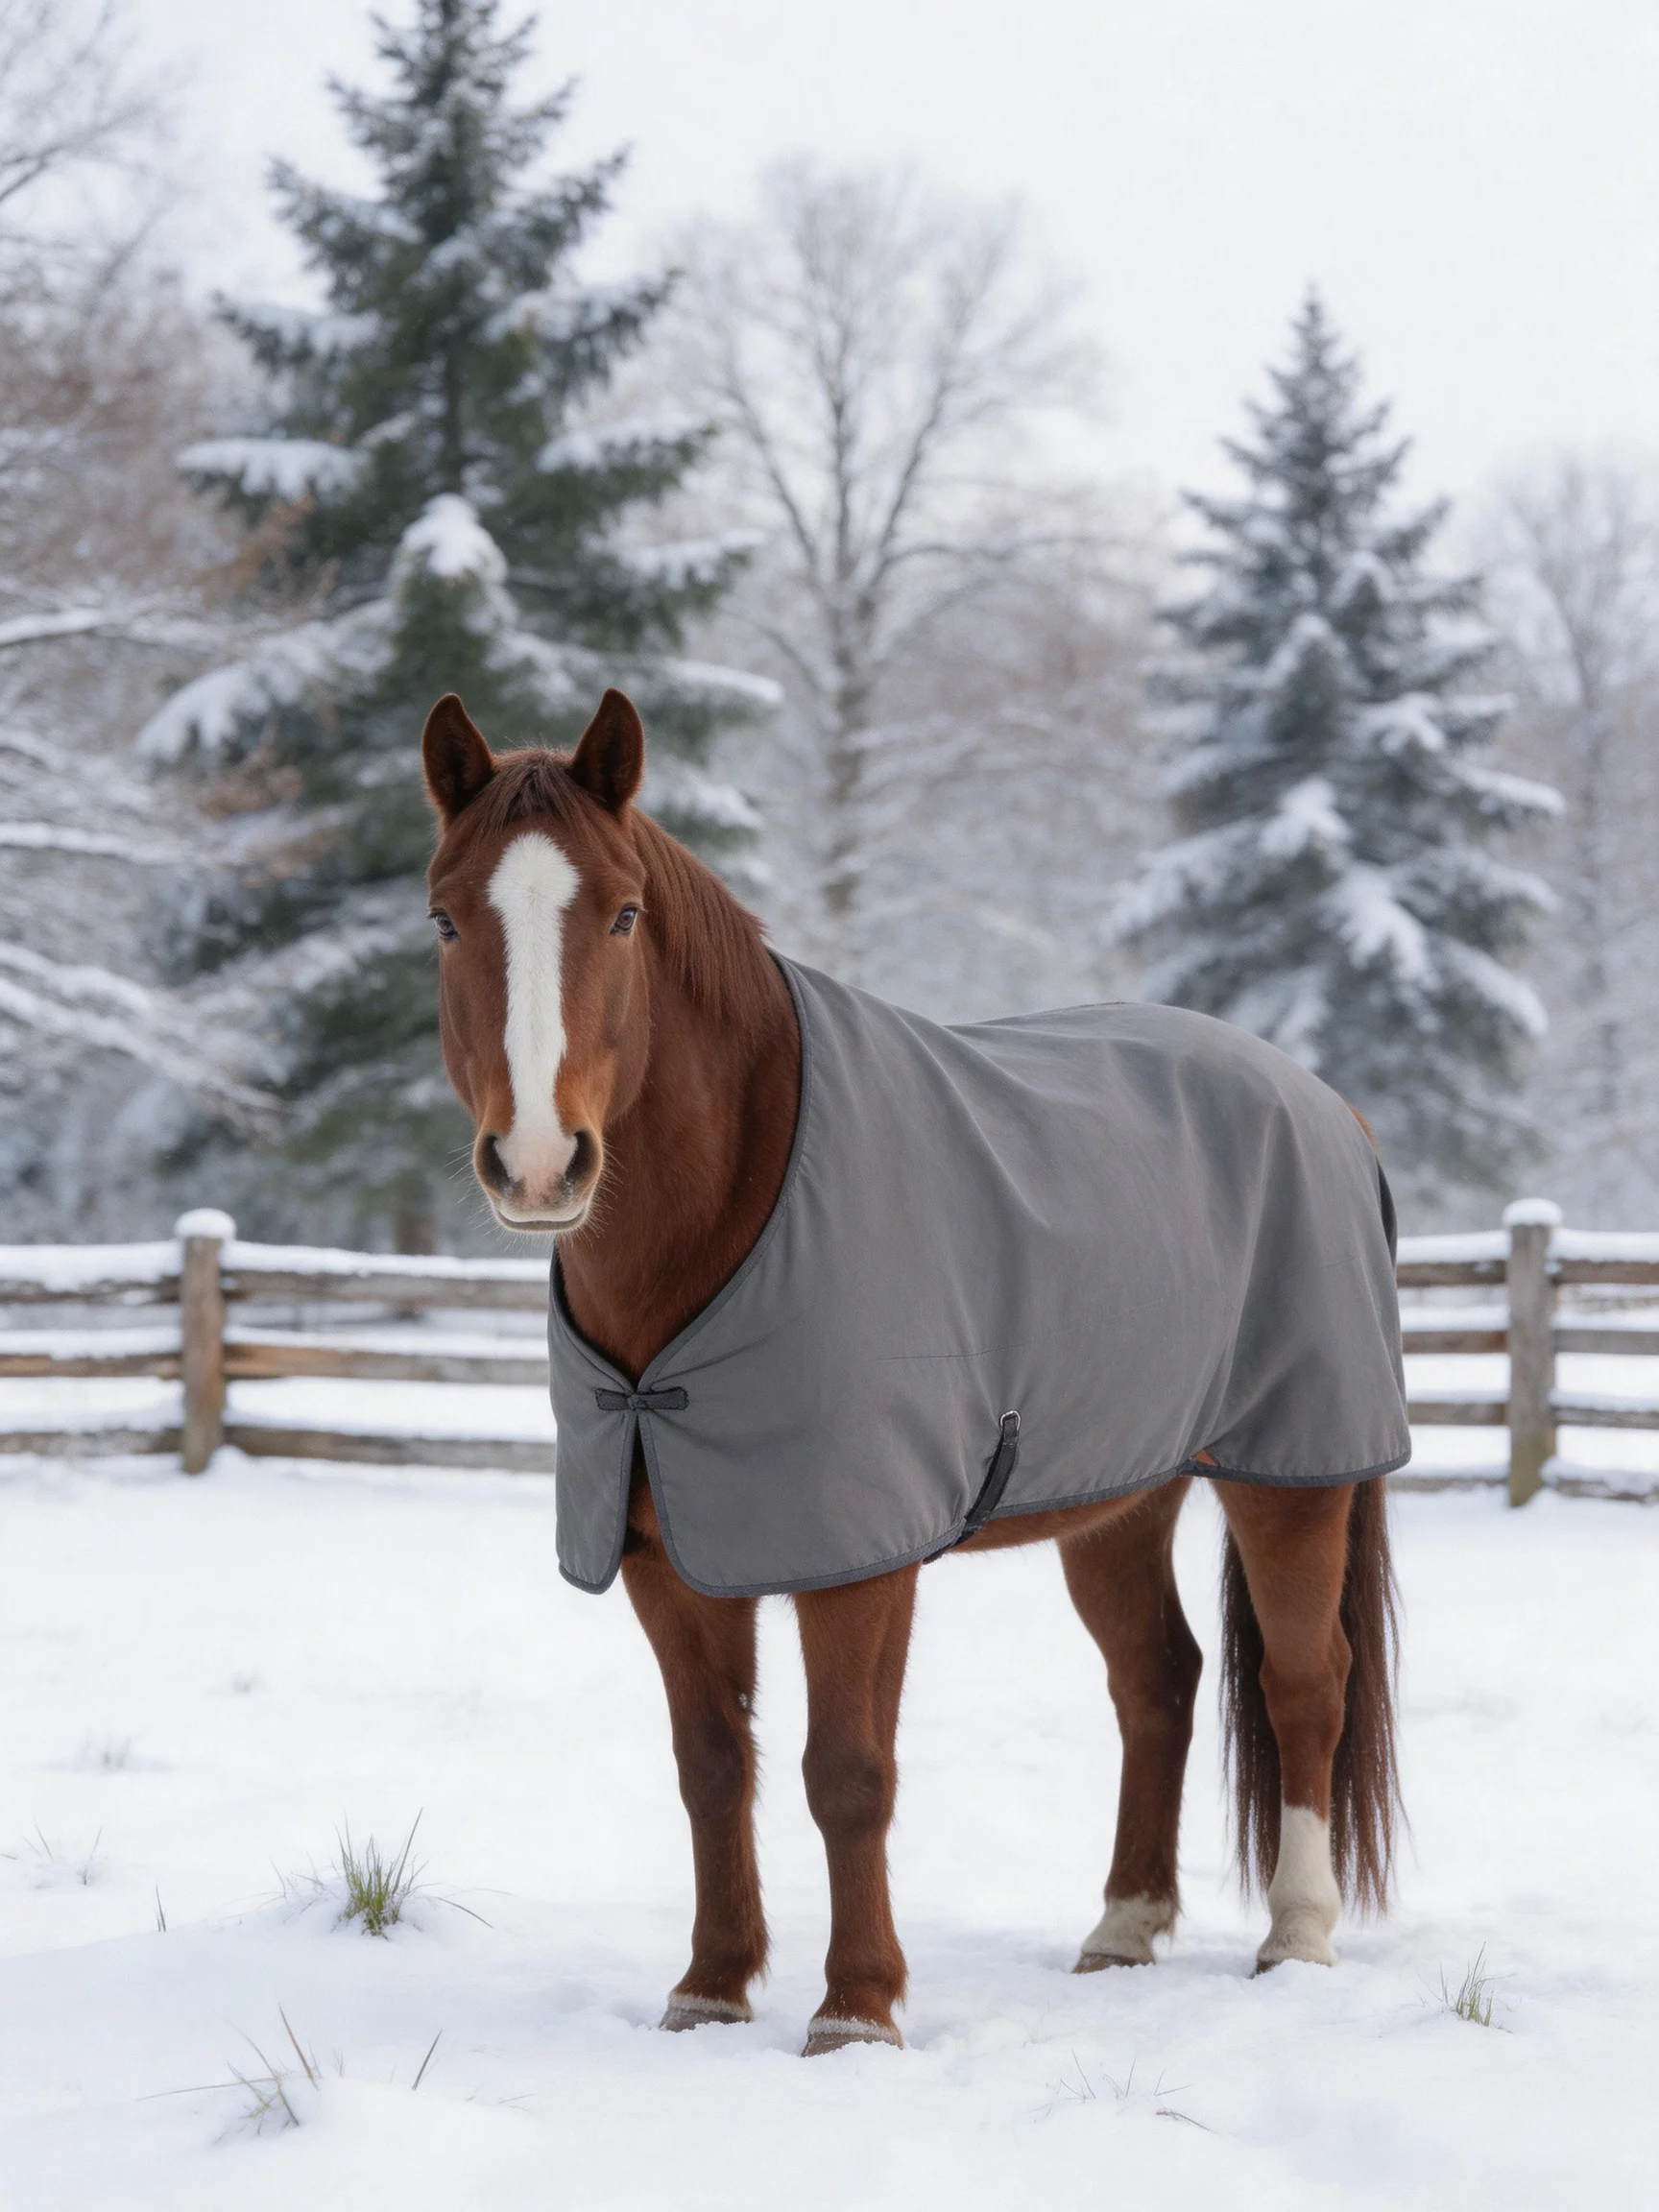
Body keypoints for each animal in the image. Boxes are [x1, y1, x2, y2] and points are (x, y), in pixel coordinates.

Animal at [421, 685, 1403, 2057]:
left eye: (619, 913)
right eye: (447, 918)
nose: (539, 1163)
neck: (740, 1204)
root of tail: (1325, 1104)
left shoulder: (860, 1562)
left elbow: (848, 1774)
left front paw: (857, 2011)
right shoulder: (667, 1557)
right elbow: (712, 1766)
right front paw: (709, 1989)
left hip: (1290, 1475)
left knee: (1307, 1685)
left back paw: (1296, 1940)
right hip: (1118, 1499)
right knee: (1159, 1681)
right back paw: (1123, 1929)